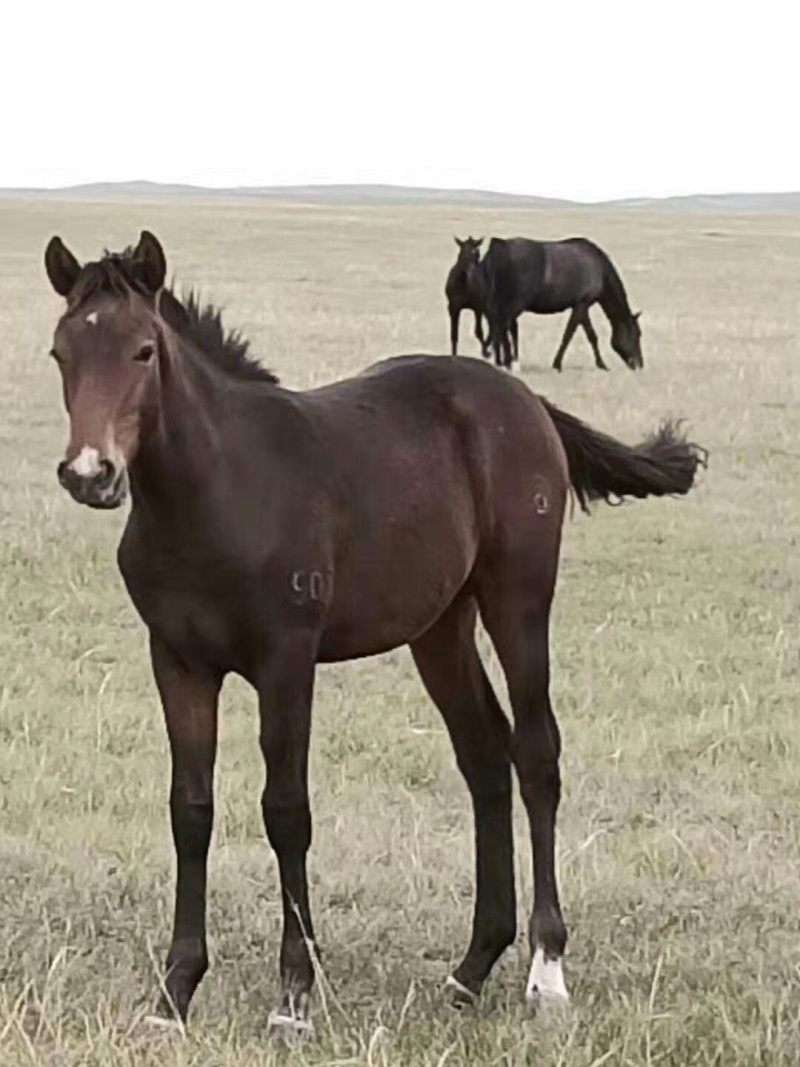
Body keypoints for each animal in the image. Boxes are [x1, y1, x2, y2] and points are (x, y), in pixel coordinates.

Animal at [480, 236, 644, 372]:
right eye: (636, 334)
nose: (639, 364)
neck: (599, 268)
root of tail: (501, 247)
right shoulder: (581, 304)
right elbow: (569, 335)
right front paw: (557, 364)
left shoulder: (581, 307)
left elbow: (590, 335)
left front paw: (601, 364)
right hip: (513, 305)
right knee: (501, 327)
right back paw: (506, 362)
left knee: (498, 328)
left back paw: (499, 360)